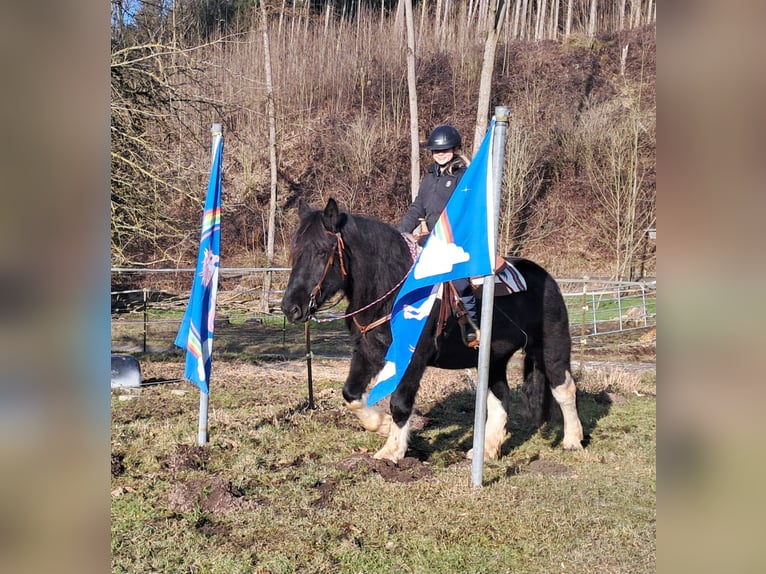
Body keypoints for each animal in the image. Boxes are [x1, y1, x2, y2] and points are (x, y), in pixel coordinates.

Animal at [282, 200, 588, 466]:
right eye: (296, 252)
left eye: (323, 251)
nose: (290, 308)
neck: (393, 291)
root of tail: (545, 276)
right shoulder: (367, 352)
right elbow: (351, 394)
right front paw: (381, 425)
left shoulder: (412, 358)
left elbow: (400, 403)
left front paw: (391, 451)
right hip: (493, 358)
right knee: (499, 397)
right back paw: (487, 450)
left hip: (551, 347)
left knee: (564, 388)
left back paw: (573, 440)